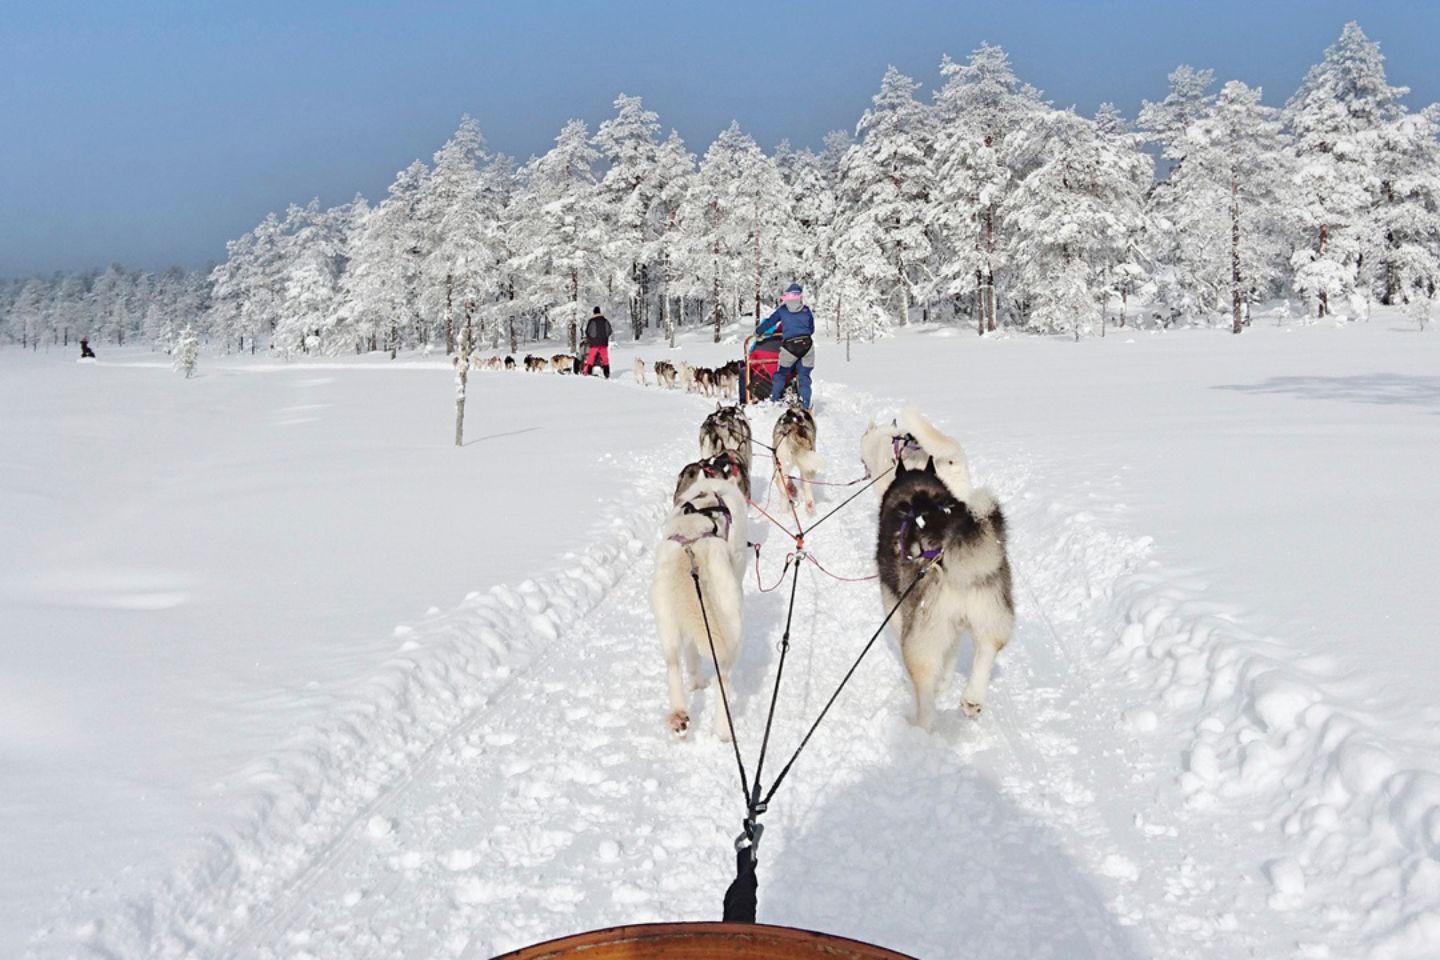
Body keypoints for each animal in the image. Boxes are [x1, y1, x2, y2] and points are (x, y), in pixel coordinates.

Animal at [648, 477, 748, 742]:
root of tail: (691, 548)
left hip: (667, 622)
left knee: (674, 663)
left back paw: (680, 716)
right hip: (730, 627)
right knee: (723, 677)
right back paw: (723, 730)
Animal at [875, 460, 1013, 728]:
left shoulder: (894, 607)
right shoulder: (955, 628)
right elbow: (950, 657)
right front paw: (946, 683)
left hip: (919, 644)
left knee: (926, 702)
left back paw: (920, 727)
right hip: (990, 615)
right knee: (988, 647)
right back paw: (972, 698)